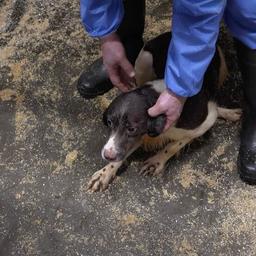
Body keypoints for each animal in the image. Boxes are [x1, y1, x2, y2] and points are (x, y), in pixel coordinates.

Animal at [87, 32, 241, 192]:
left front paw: (156, 161)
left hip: (222, 67)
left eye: (132, 128)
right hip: (144, 60)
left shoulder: (205, 122)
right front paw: (105, 173)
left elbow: (175, 144)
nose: (107, 155)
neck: (154, 97)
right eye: (109, 122)